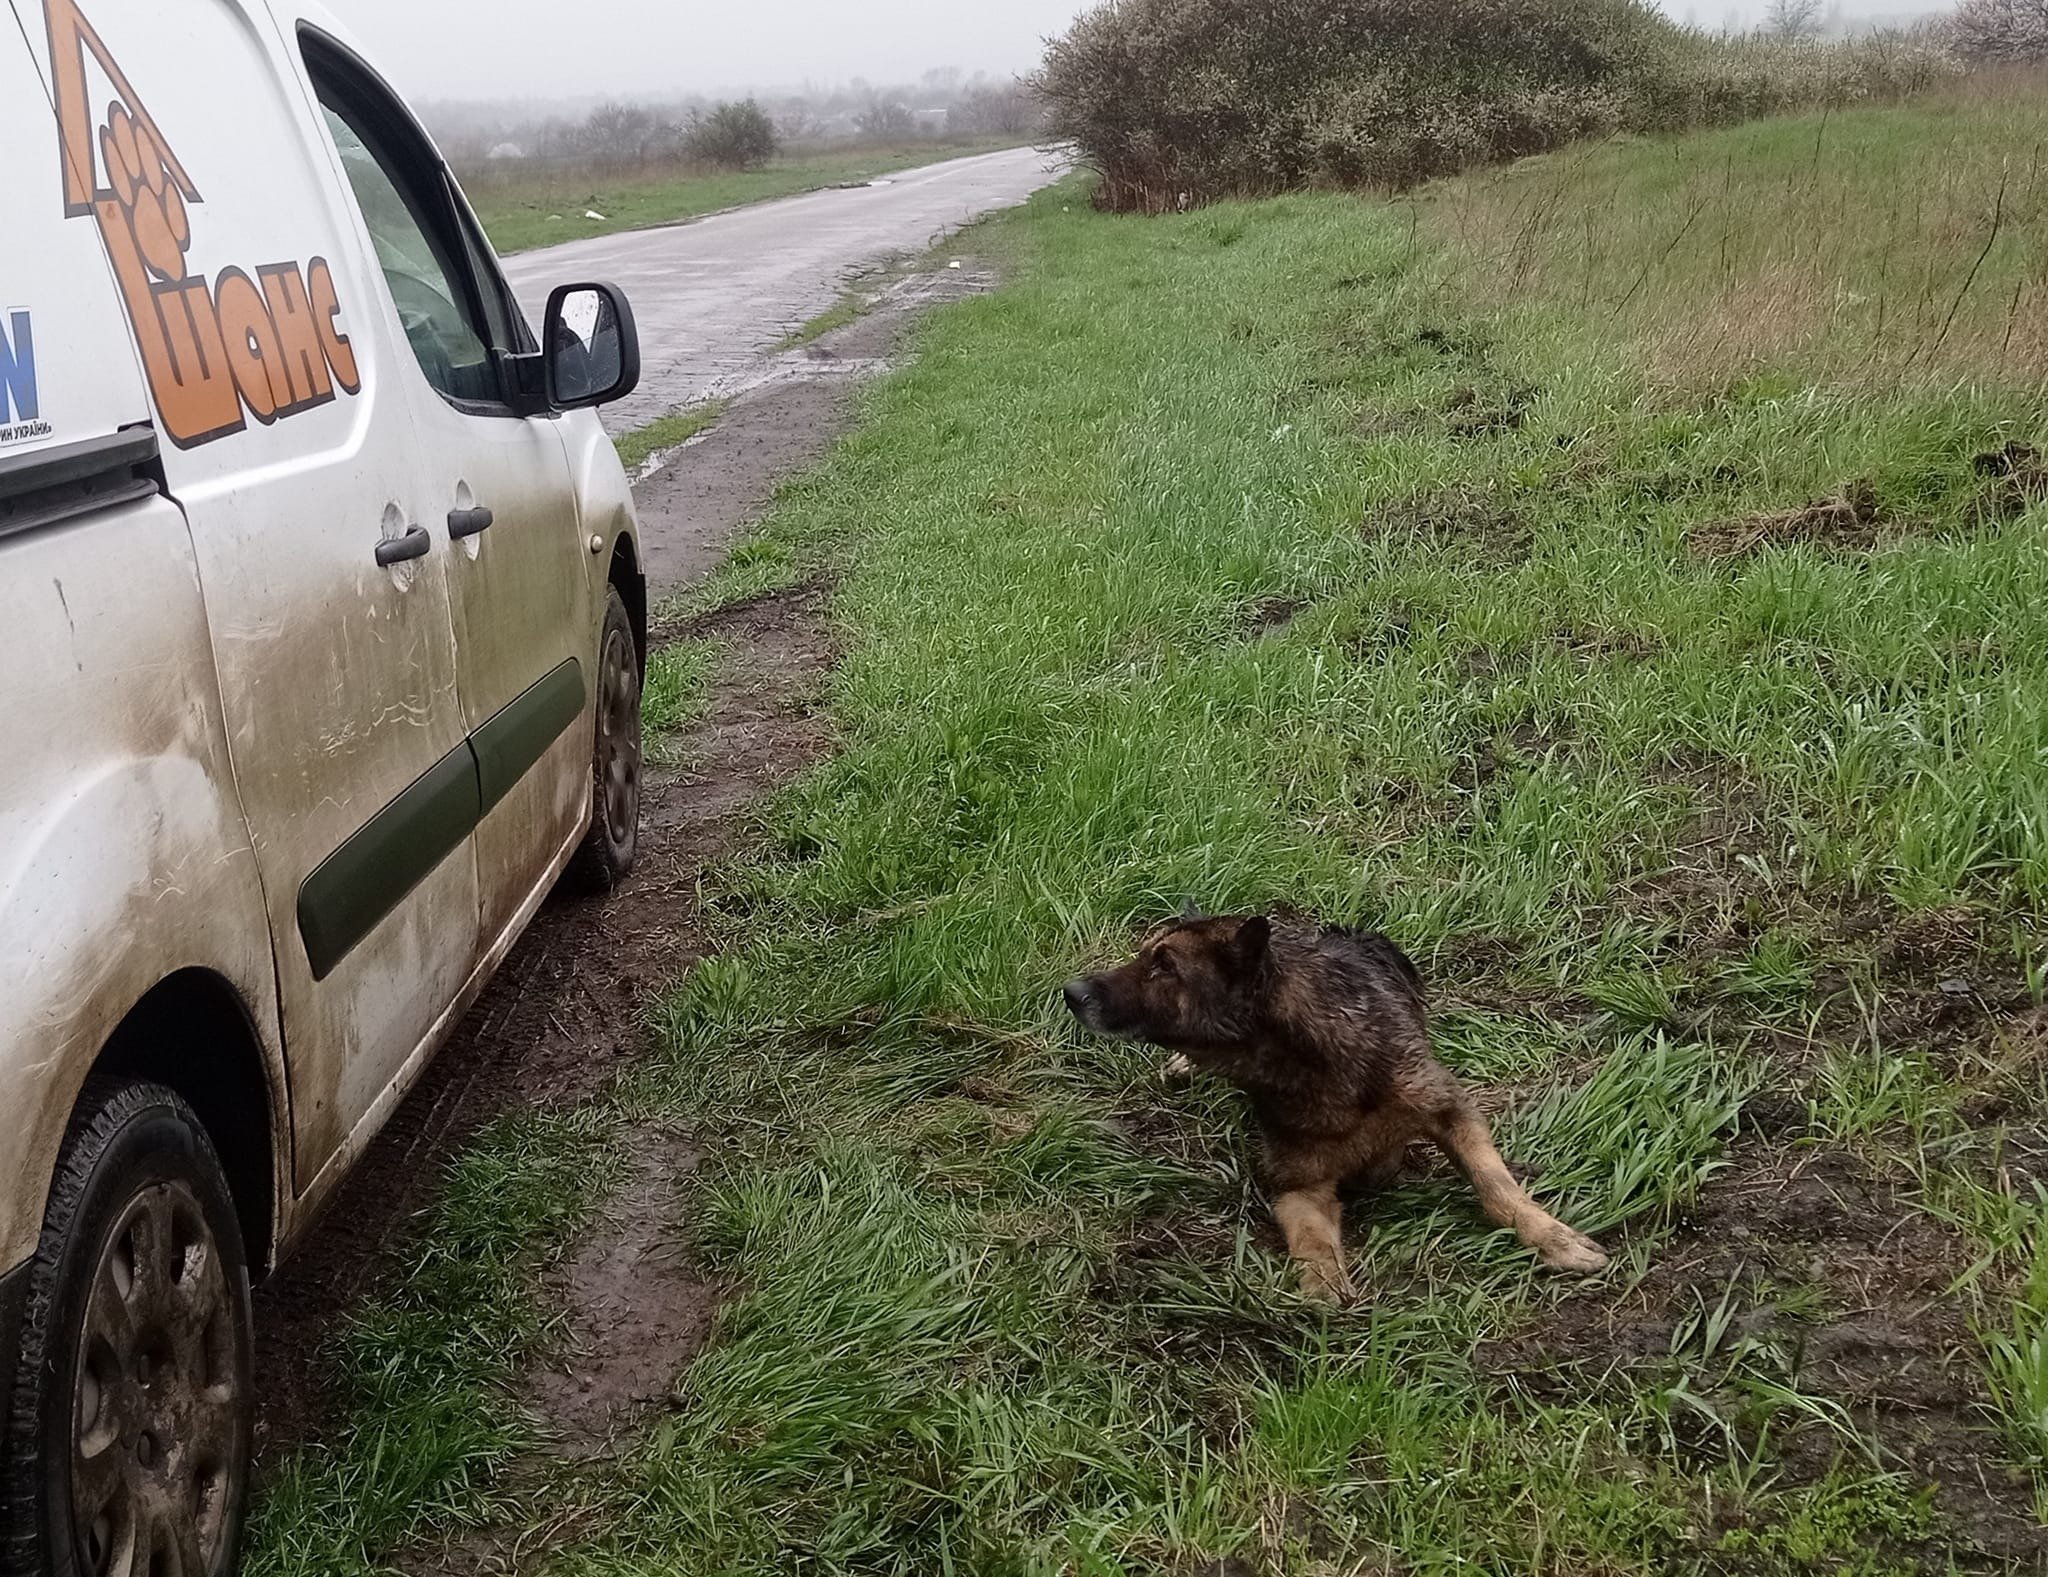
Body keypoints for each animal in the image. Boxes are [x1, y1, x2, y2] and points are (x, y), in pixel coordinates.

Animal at [1064, 901, 1605, 1294]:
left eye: (1164, 967)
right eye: (1144, 956)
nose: (1070, 991)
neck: (1310, 1060)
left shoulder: (1451, 1110)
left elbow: (1497, 1186)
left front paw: (1552, 1238)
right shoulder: (1298, 1186)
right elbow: (1313, 1242)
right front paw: (1321, 1290)